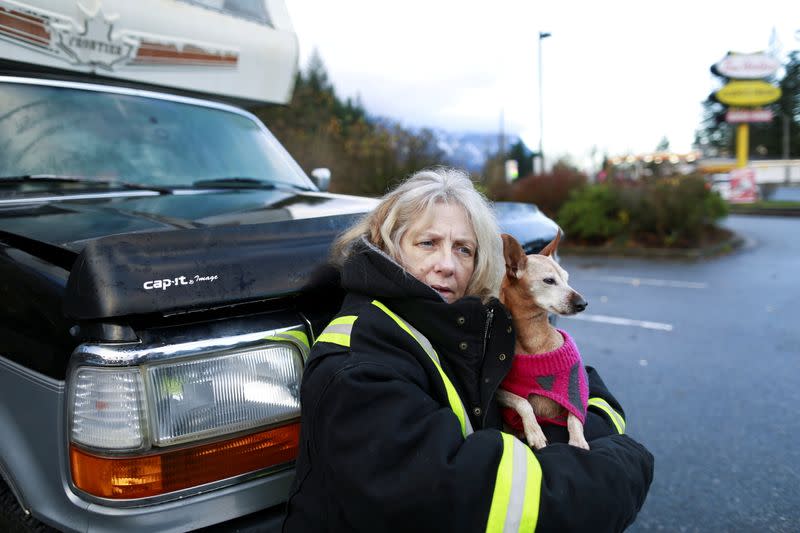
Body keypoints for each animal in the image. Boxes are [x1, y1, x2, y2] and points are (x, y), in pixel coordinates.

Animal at [496, 233, 592, 448]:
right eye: (549, 280)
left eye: (567, 278)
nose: (583, 303)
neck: (535, 340)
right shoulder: (502, 391)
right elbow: (523, 402)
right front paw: (535, 432)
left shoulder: (575, 392)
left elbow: (575, 415)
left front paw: (578, 440)